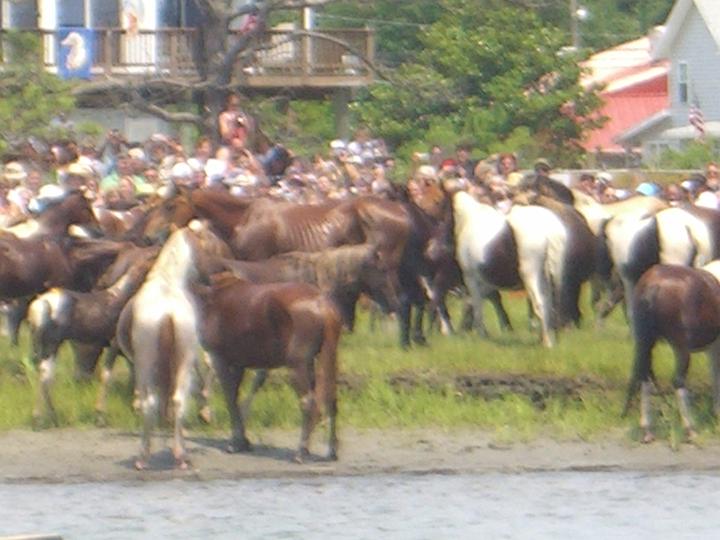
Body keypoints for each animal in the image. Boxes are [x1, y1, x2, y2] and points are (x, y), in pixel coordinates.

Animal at [116, 219, 232, 468]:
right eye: (210, 245)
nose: (218, 273)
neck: (166, 281)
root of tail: (168, 313)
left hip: (145, 364)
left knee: (150, 404)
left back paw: (143, 456)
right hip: (183, 359)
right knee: (178, 400)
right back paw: (181, 455)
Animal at [197, 274, 344, 464]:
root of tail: (322, 304)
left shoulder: (220, 359)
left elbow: (230, 399)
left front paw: (235, 443)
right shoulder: (238, 364)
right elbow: (236, 398)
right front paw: (243, 441)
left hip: (298, 364)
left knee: (309, 403)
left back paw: (301, 451)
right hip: (326, 356)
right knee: (331, 400)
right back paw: (331, 451)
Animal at [450, 192, 568, 348]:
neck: (467, 218)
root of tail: (550, 233)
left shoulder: (472, 279)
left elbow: (475, 307)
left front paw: (481, 336)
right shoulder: (485, 284)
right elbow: (474, 304)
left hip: (531, 276)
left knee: (540, 305)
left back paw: (546, 343)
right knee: (551, 306)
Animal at [620, 260, 720, 442]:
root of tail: (653, 286)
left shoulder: (713, 348)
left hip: (646, 342)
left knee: (645, 377)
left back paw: (648, 430)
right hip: (681, 348)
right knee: (678, 381)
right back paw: (690, 429)